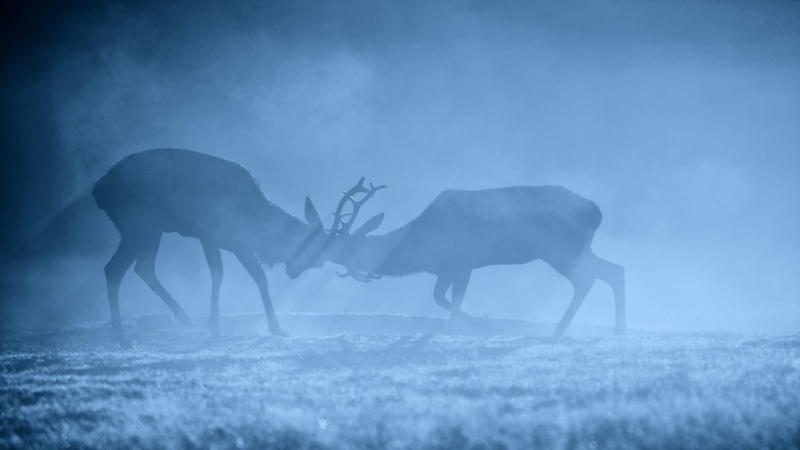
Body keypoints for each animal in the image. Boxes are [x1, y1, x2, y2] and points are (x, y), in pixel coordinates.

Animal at [93, 148, 330, 346]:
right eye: (310, 250)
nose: (294, 272)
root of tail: (98, 192)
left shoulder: (239, 245)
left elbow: (259, 278)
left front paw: (276, 328)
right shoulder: (210, 237)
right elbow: (218, 275)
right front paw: (215, 328)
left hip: (152, 231)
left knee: (143, 267)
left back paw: (184, 318)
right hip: (137, 227)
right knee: (113, 268)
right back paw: (120, 336)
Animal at [287, 178, 625, 338]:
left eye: (327, 247)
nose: (291, 267)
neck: (419, 248)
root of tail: (598, 212)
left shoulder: (463, 263)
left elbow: (452, 299)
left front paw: (476, 328)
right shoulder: (445, 269)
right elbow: (440, 297)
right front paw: (478, 325)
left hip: (560, 248)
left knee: (590, 278)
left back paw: (560, 331)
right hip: (575, 249)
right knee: (614, 270)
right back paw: (614, 329)